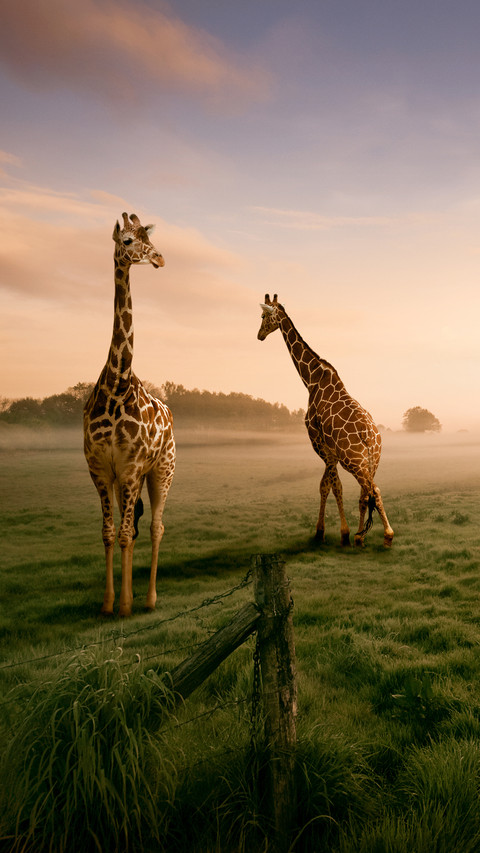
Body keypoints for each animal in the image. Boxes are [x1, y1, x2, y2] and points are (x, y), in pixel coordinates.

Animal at [257, 294, 394, 547]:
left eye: (262, 316)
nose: (259, 335)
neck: (311, 379)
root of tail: (369, 435)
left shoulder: (321, 445)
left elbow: (330, 486)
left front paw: (334, 533)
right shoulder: (330, 452)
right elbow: (329, 485)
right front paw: (343, 533)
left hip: (354, 460)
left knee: (374, 490)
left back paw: (387, 536)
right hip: (373, 460)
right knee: (366, 492)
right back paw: (361, 536)